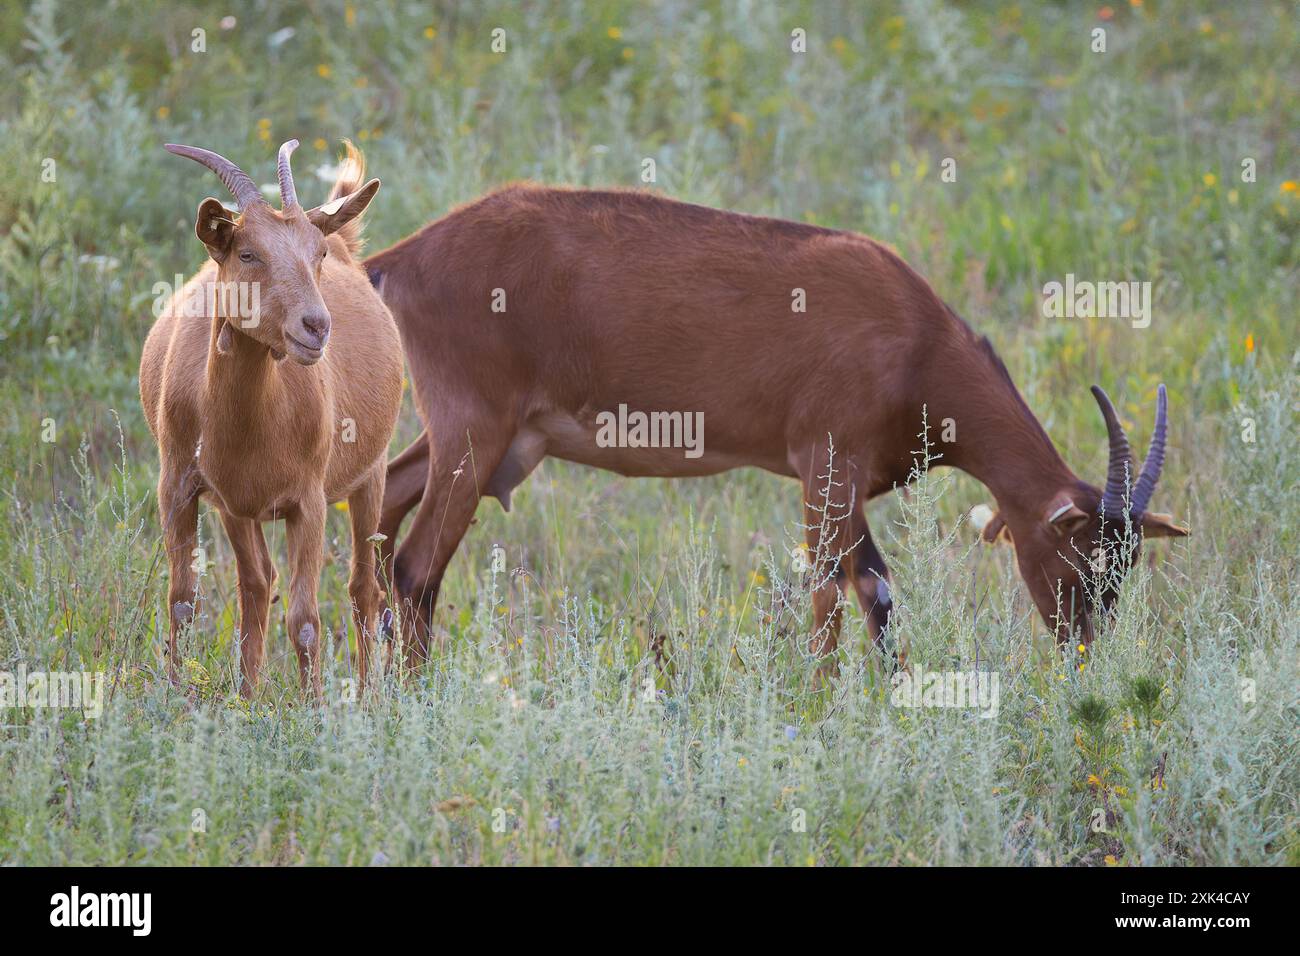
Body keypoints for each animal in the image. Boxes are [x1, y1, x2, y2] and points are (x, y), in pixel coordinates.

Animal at [139, 140, 403, 697]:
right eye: (247, 252)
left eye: (315, 253)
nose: (315, 326)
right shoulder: (180, 486)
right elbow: (183, 602)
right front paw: (175, 699)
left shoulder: (309, 500)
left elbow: (305, 620)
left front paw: (314, 708)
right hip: (237, 508)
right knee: (258, 583)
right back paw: (247, 695)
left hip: (372, 473)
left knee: (363, 586)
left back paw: (368, 696)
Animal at [366, 184, 1190, 665]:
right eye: (1086, 557)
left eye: (1129, 562)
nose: (1083, 653)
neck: (914, 337)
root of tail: (399, 259)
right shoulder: (826, 464)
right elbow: (836, 590)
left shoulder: (845, 483)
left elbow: (875, 589)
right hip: (475, 435)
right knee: (414, 570)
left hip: (485, 441)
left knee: (380, 520)